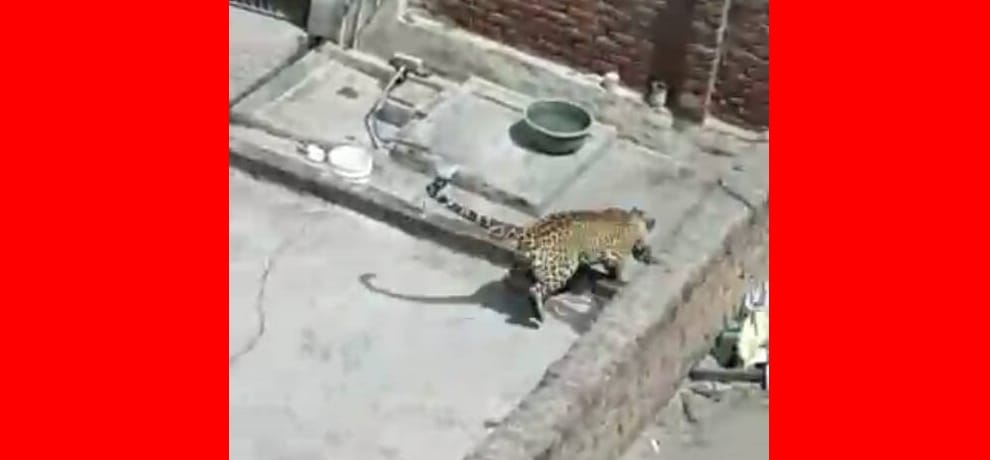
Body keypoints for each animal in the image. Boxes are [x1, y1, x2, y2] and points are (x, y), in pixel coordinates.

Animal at [425, 176, 659, 324]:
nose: (654, 222)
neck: (632, 217)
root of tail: (531, 231)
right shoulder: (617, 253)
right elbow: (618, 266)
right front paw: (624, 276)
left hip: (527, 260)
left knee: (516, 275)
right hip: (562, 267)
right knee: (536, 289)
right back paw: (539, 313)